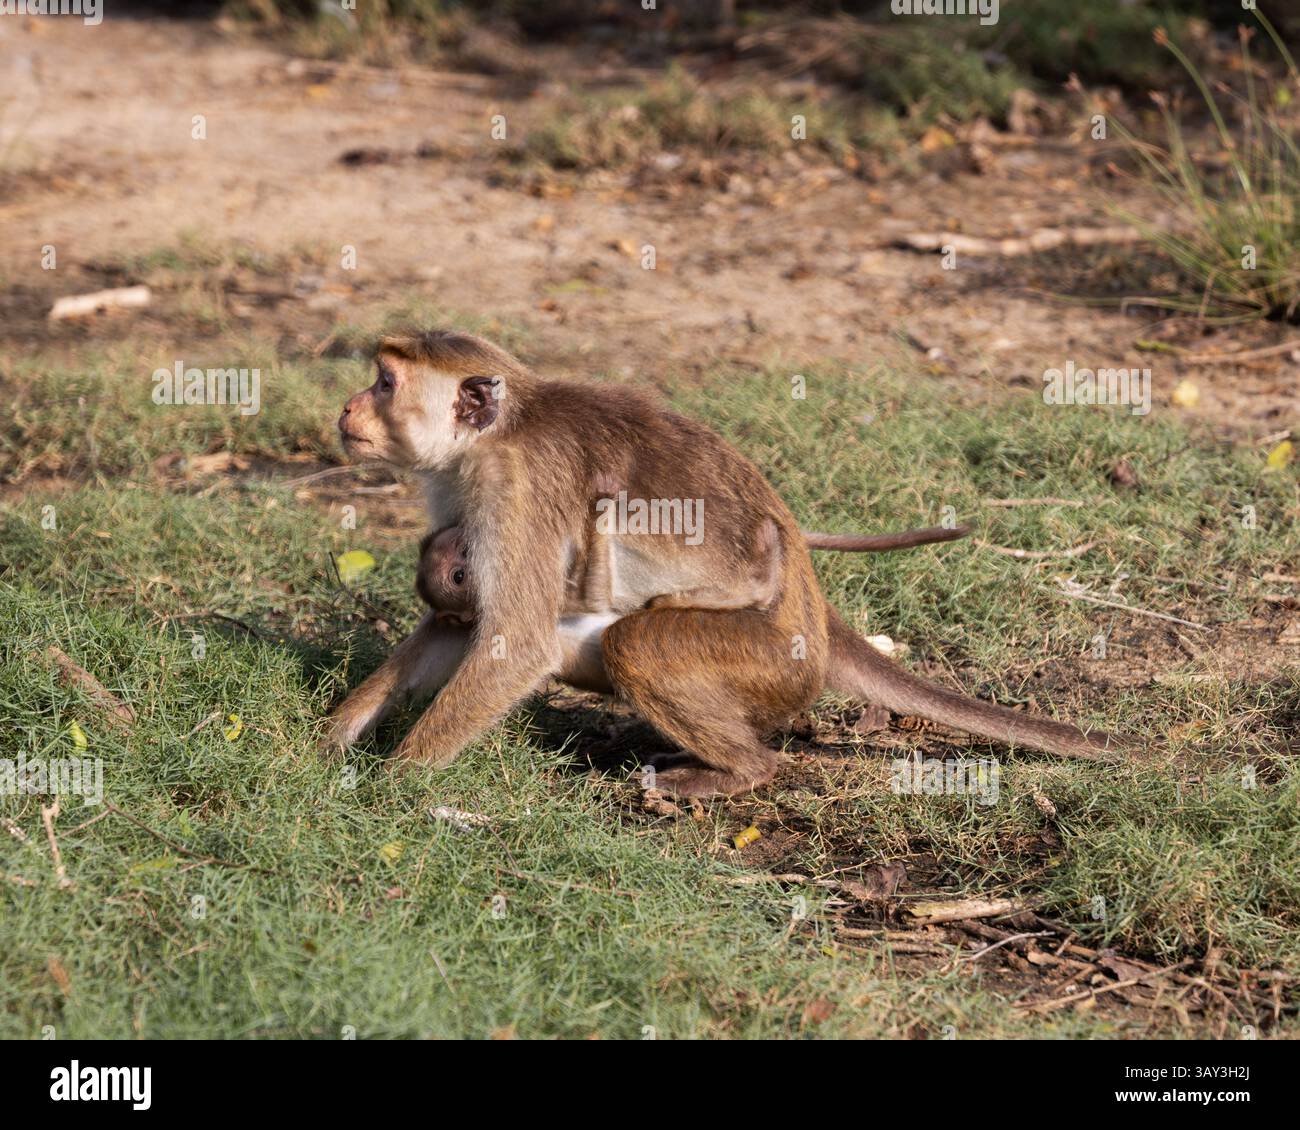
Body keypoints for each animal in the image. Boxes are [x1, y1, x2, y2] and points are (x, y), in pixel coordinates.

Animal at [325, 329, 1117, 797]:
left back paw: (741, 770)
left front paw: (391, 786)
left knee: (637, 643)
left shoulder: (515, 486)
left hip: (772, 664)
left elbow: (514, 641)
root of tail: (813, 613)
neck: (496, 435)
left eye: (386, 383)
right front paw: (332, 737)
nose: (348, 407)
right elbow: (455, 625)